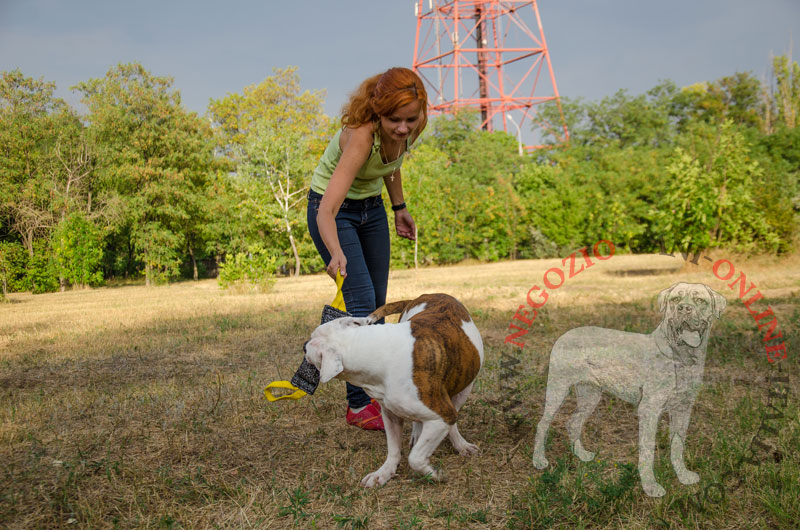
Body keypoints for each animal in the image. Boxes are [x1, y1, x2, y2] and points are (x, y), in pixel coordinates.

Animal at [304, 292, 482, 486]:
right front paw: (384, 473)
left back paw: (460, 444)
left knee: (453, 420)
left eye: (311, 342)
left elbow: (415, 458)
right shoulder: (390, 414)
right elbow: (394, 448)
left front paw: (433, 473)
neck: (375, 351)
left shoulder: (442, 416)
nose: (304, 344)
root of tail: (427, 294)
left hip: (464, 388)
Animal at [532, 280, 724, 496]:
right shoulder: (649, 410)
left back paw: (581, 454)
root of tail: (563, 335)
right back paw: (539, 460)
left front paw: (683, 476)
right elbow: (648, 452)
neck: (681, 357)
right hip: (558, 389)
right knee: (543, 424)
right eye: (675, 299)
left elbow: (677, 446)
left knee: (573, 422)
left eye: (700, 300)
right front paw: (650, 487)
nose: (684, 309)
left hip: (590, 395)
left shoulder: (683, 409)